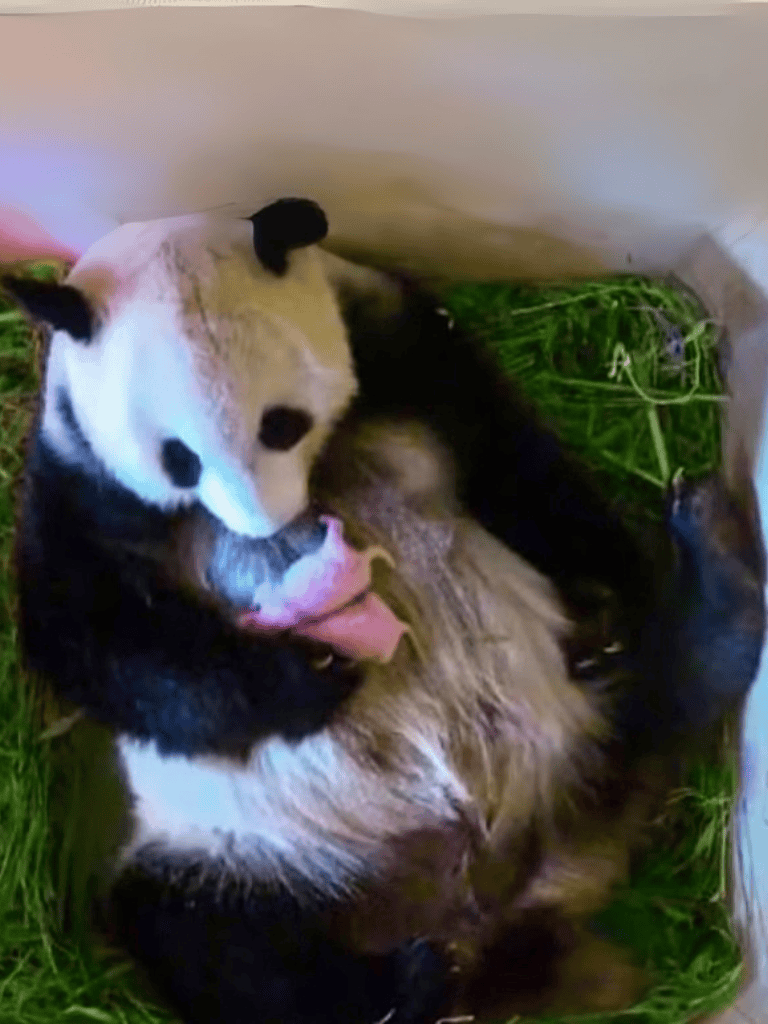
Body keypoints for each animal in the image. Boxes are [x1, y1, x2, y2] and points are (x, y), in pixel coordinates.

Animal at [3, 198, 765, 1024]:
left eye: (280, 422)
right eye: (179, 457)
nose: (272, 527)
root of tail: (506, 895)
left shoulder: (397, 342)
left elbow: (510, 453)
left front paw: (604, 588)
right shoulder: (79, 484)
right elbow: (97, 638)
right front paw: (308, 679)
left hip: (562, 710)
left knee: (651, 693)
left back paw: (704, 579)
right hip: (239, 852)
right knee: (211, 947)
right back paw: (407, 983)